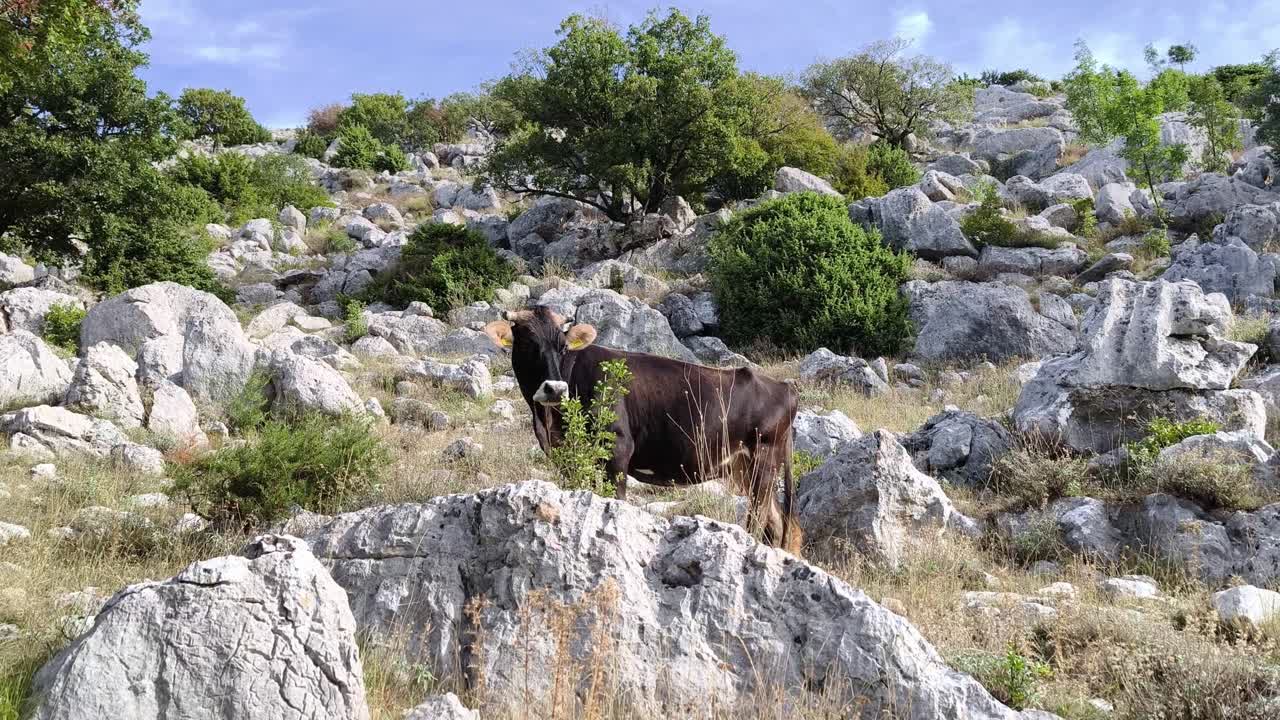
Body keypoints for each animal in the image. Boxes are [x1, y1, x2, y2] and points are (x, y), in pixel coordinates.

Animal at [484, 306, 802, 554]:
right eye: (527, 344)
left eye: (562, 347)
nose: (555, 388)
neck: (546, 421)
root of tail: (784, 387)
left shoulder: (617, 450)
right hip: (744, 467)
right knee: (782, 525)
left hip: (763, 460)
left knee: (760, 521)